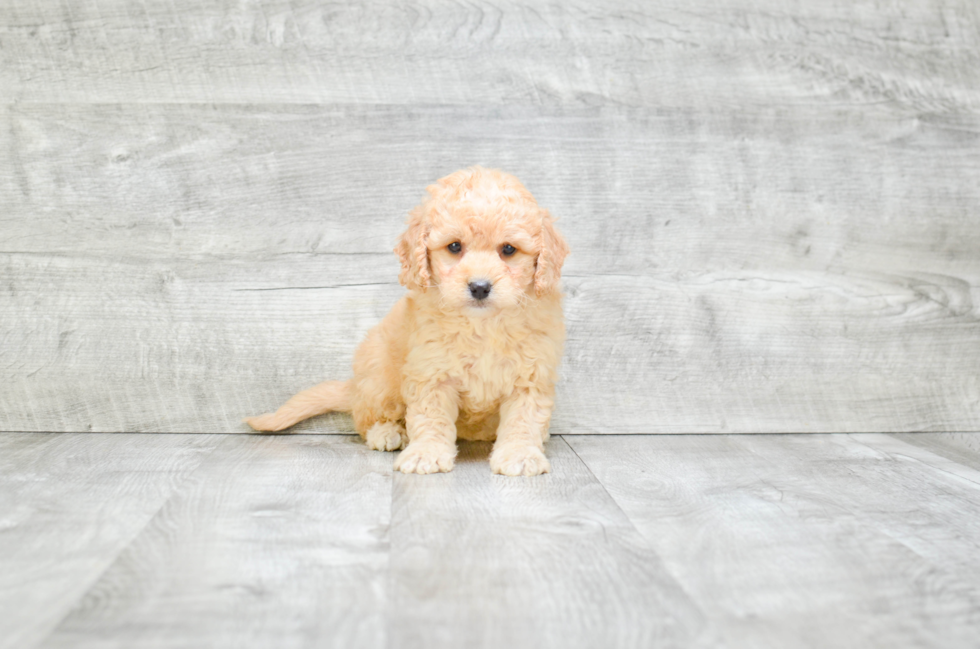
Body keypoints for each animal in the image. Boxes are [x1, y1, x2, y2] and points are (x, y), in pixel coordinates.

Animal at [242, 165, 572, 474]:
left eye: (508, 250)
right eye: (454, 246)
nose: (479, 287)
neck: (483, 325)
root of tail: (354, 387)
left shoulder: (530, 376)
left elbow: (523, 419)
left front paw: (520, 454)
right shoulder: (431, 372)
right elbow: (430, 416)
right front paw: (427, 453)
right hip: (379, 375)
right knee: (367, 419)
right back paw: (387, 433)